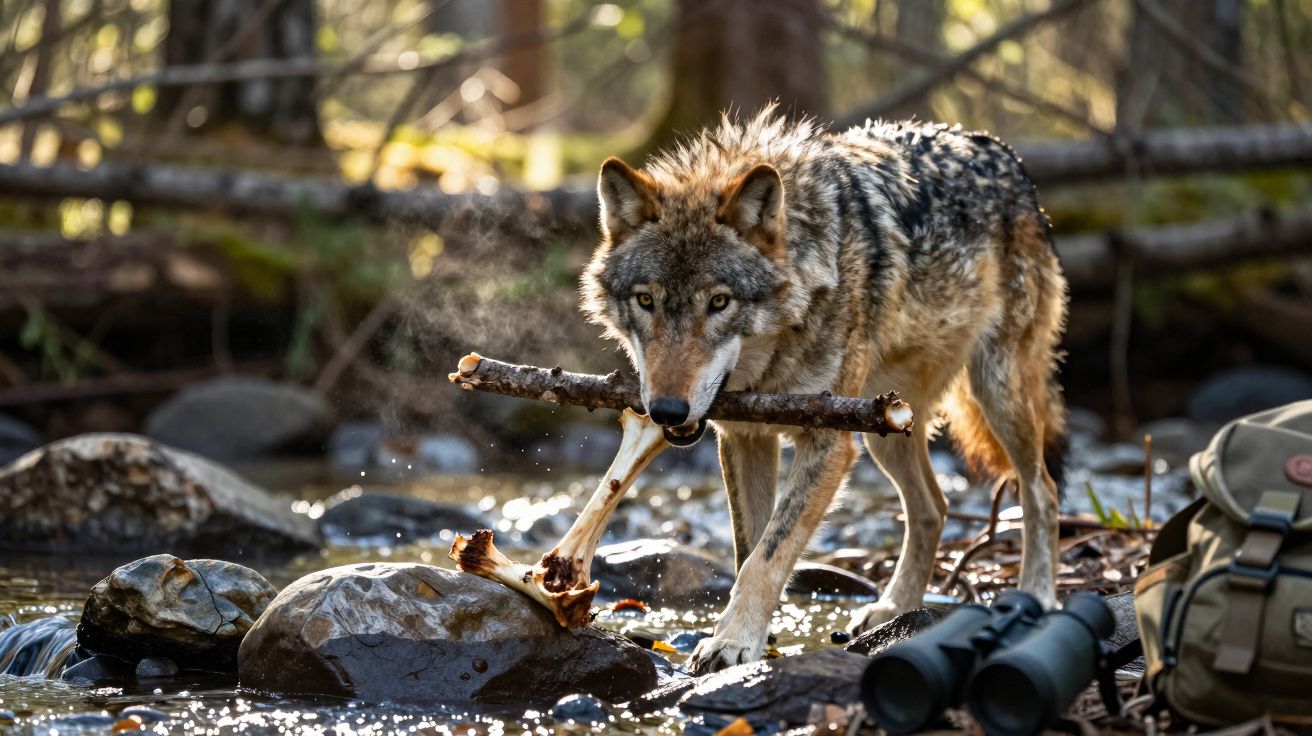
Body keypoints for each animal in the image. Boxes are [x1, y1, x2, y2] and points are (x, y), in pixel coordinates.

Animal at [580, 107, 1067, 674]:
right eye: (646, 300)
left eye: (720, 302)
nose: (665, 410)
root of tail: (1004, 154)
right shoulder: (746, 436)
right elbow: (749, 550)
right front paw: (752, 639)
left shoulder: (829, 443)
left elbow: (769, 555)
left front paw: (732, 641)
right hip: (886, 427)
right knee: (934, 506)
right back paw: (894, 608)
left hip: (994, 395)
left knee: (1041, 490)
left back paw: (1035, 595)